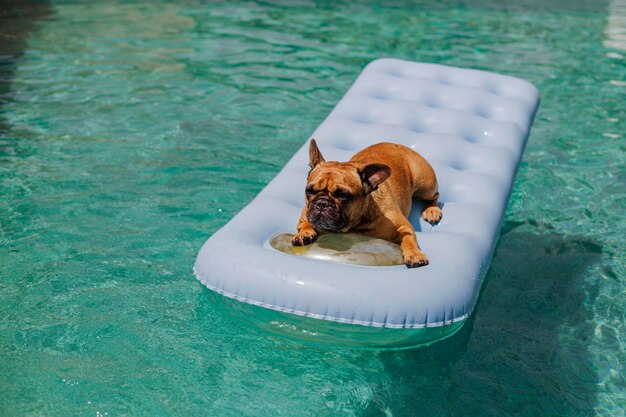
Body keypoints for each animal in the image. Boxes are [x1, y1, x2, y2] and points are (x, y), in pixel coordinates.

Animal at [292, 138, 442, 268]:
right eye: (309, 191)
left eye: (343, 195)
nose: (322, 203)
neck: (357, 223)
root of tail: (399, 146)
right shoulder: (305, 214)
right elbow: (304, 224)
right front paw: (304, 234)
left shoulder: (403, 227)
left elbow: (409, 239)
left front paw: (414, 255)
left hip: (425, 184)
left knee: (434, 195)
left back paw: (432, 210)